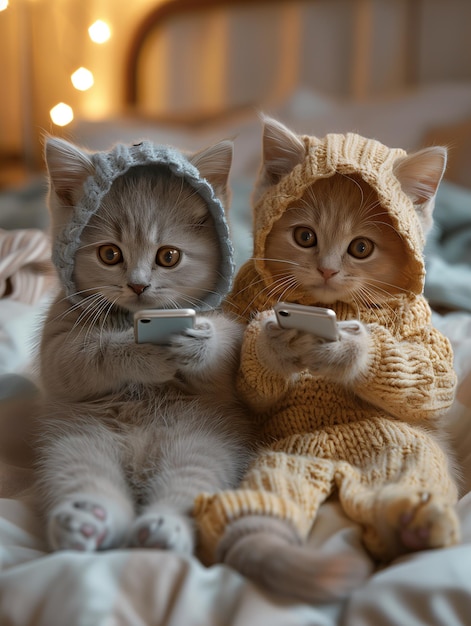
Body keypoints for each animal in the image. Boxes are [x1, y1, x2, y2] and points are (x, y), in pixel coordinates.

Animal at [36, 135, 254, 552]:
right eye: (110, 254)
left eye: (168, 256)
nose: (138, 285)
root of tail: (140, 459)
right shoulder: (57, 343)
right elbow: (79, 359)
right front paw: (140, 352)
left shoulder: (233, 335)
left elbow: (229, 352)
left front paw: (198, 341)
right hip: (77, 441)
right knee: (91, 481)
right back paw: (85, 521)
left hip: (202, 443)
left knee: (188, 485)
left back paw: (162, 528)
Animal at [194, 117, 460, 600]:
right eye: (305, 237)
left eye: (361, 248)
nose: (327, 269)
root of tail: (339, 467)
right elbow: (244, 382)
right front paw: (274, 346)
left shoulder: (420, 329)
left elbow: (434, 381)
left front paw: (348, 349)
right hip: (285, 457)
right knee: (274, 489)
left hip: (401, 445)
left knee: (412, 470)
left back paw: (414, 522)